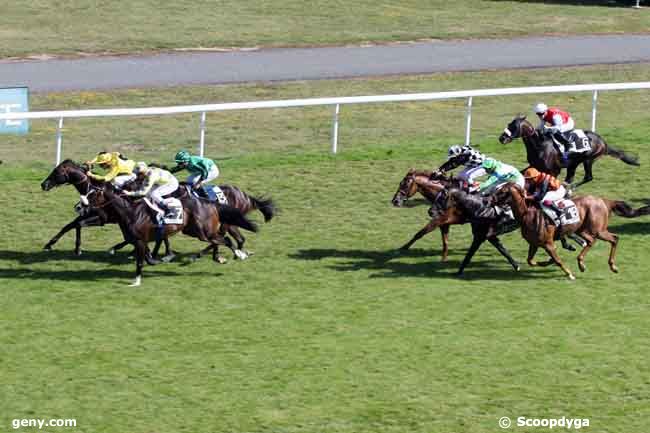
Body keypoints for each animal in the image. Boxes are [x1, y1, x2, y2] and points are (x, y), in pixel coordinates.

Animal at [494, 181, 644, 278]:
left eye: (502, 192)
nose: (490, 199)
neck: (527, 214)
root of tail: (604, 201)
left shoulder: (548, 243)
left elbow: (558, 260)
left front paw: (569, 273)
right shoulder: (534, 243)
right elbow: (530, 260)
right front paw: (545, 262)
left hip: (598, 230)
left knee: (614, 238)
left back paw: (611, 266)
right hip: (581, 229)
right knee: (591, 241)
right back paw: (582, 263)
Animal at [498, 115, 636, 186]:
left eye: (514, 127)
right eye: (509, 124)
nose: (501, 138)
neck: (539, 145)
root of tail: (603, 142)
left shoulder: (553, 170)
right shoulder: (534, 165)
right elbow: (521, 173)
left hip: (588, 160)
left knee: (588, 177)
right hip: (573, 163)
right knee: (572, 177)